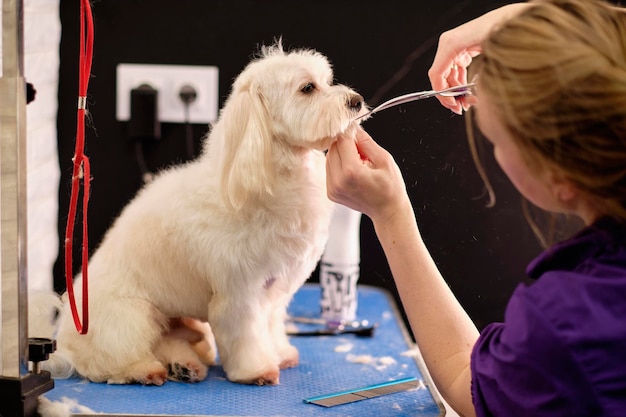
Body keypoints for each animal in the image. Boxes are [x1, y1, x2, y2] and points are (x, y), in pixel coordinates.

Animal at [45, 40, 366, 386]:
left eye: (327, 81)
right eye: (307, 88)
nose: (356, 101)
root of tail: (64, 343)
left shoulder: (275, 291)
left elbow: (270, 326)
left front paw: (280, 353)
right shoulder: (239, 293)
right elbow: (246, 333)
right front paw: (257, 370)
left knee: (170, 340)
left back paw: (185, 366)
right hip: (130, 316)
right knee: (113, 356)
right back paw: (145, 369)